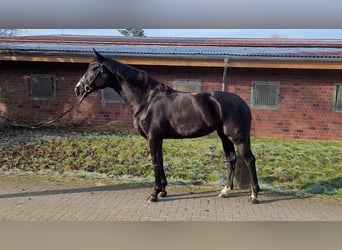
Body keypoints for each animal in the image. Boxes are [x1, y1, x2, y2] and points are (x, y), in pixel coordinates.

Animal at [75, 49, 260, 204]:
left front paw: (154, 194)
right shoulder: (158, 138)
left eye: (94, 68)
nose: (78, 89)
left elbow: (155, 163)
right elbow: (161, 161)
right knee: (231, 159)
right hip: (224, 136)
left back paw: (254, 195)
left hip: (237, 137)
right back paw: (225, 191)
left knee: (249, 159)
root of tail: (242, 103)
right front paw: (163, 191)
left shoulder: (153, 137)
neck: (146, 100)